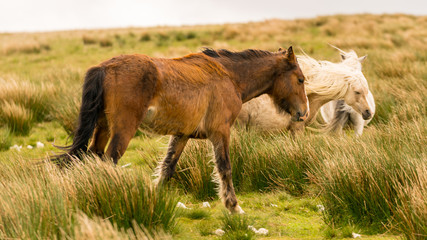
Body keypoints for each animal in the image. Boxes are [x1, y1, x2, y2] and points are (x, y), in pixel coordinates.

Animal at [57, 46, 310, 213]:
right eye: (300, 79)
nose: (303, 113)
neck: (230, 76)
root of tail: (105, 67)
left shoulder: (182, 135)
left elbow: (168, 167)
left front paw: (154, 200)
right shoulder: (220, 132)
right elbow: (225, 168)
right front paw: (233, 207)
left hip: (103, 129)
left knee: (92, 158)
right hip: (123, 131)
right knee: (109, 161)